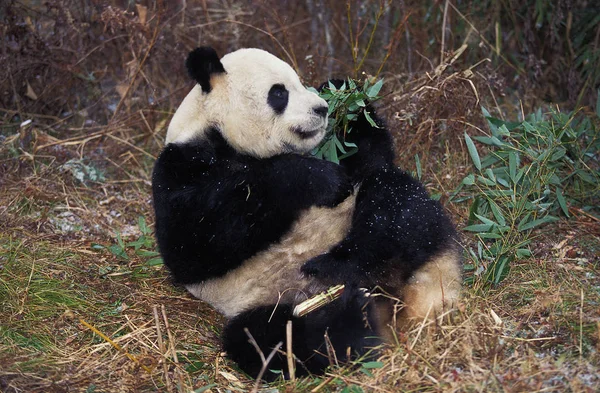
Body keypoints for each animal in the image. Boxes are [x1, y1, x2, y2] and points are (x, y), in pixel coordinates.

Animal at [152, 46, 462, 380]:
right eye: (279, 93)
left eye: (301, 82)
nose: (322, 109)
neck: (221, 134)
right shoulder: (180, 166)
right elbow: (194, 241)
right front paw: (319, 179)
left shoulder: (343, 155)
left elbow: (370, 155)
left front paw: (341, 91)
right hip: (269, 300)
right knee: (268, 339)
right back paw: (352, 315)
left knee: (394, 206)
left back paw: (341, 265)